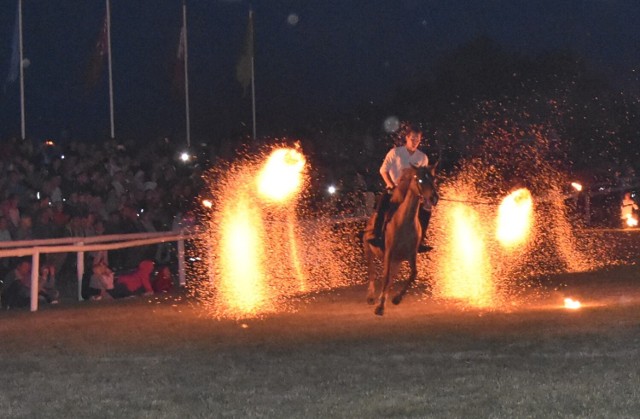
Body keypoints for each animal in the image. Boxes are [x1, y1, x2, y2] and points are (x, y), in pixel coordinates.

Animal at [362, 163, 438, 316]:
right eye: (420, 180)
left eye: (434, 179)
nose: (434, 198)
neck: (404, 222)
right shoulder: (388, 252)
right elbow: (384, 277)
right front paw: (380, 307)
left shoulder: (411, 255)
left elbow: (413, 274)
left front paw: (396, 298)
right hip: (369, 251)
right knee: (372, 273)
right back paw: (371, 297)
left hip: (397, 261)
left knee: (391, 278)